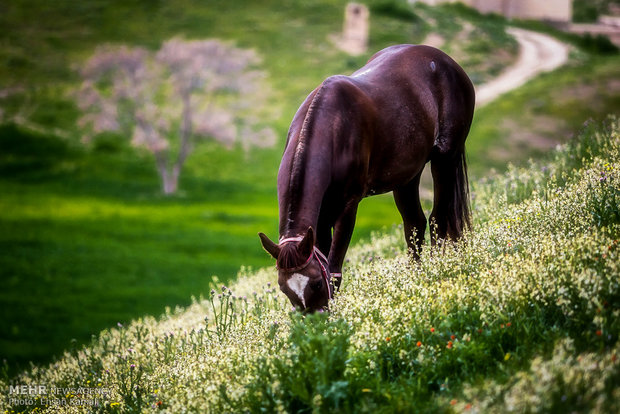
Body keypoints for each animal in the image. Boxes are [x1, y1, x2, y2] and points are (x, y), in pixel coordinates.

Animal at [256, 44, 474, 310]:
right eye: (284, 289)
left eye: (316, 283)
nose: (316, 318)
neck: (330, 128)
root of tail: (448, 62)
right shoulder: (322, 215)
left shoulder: (347, 207)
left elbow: (334, 267)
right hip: (406, 177)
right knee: (415, 224)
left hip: (445, 160)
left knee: (438, 220)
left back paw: (437, 269)